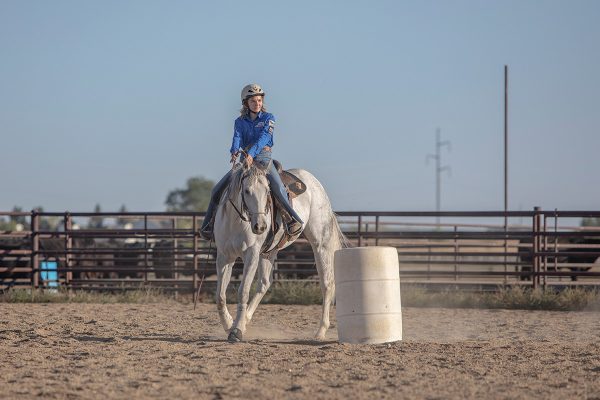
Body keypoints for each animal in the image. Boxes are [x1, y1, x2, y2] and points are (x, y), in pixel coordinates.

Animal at [214, 161, 346, 342]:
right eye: (246, 191)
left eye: (267, 191)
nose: (261, 226)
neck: (236, 222)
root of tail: (313, 181)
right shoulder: (224, 257)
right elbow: (220, 296)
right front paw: (229, 324)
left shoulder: (251, 254)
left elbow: (243, 292)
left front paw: (237, 330)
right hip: (268, 252)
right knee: (264, 283)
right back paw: (245, 319)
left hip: (321, 244)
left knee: (327, 283)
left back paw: (320, 331)